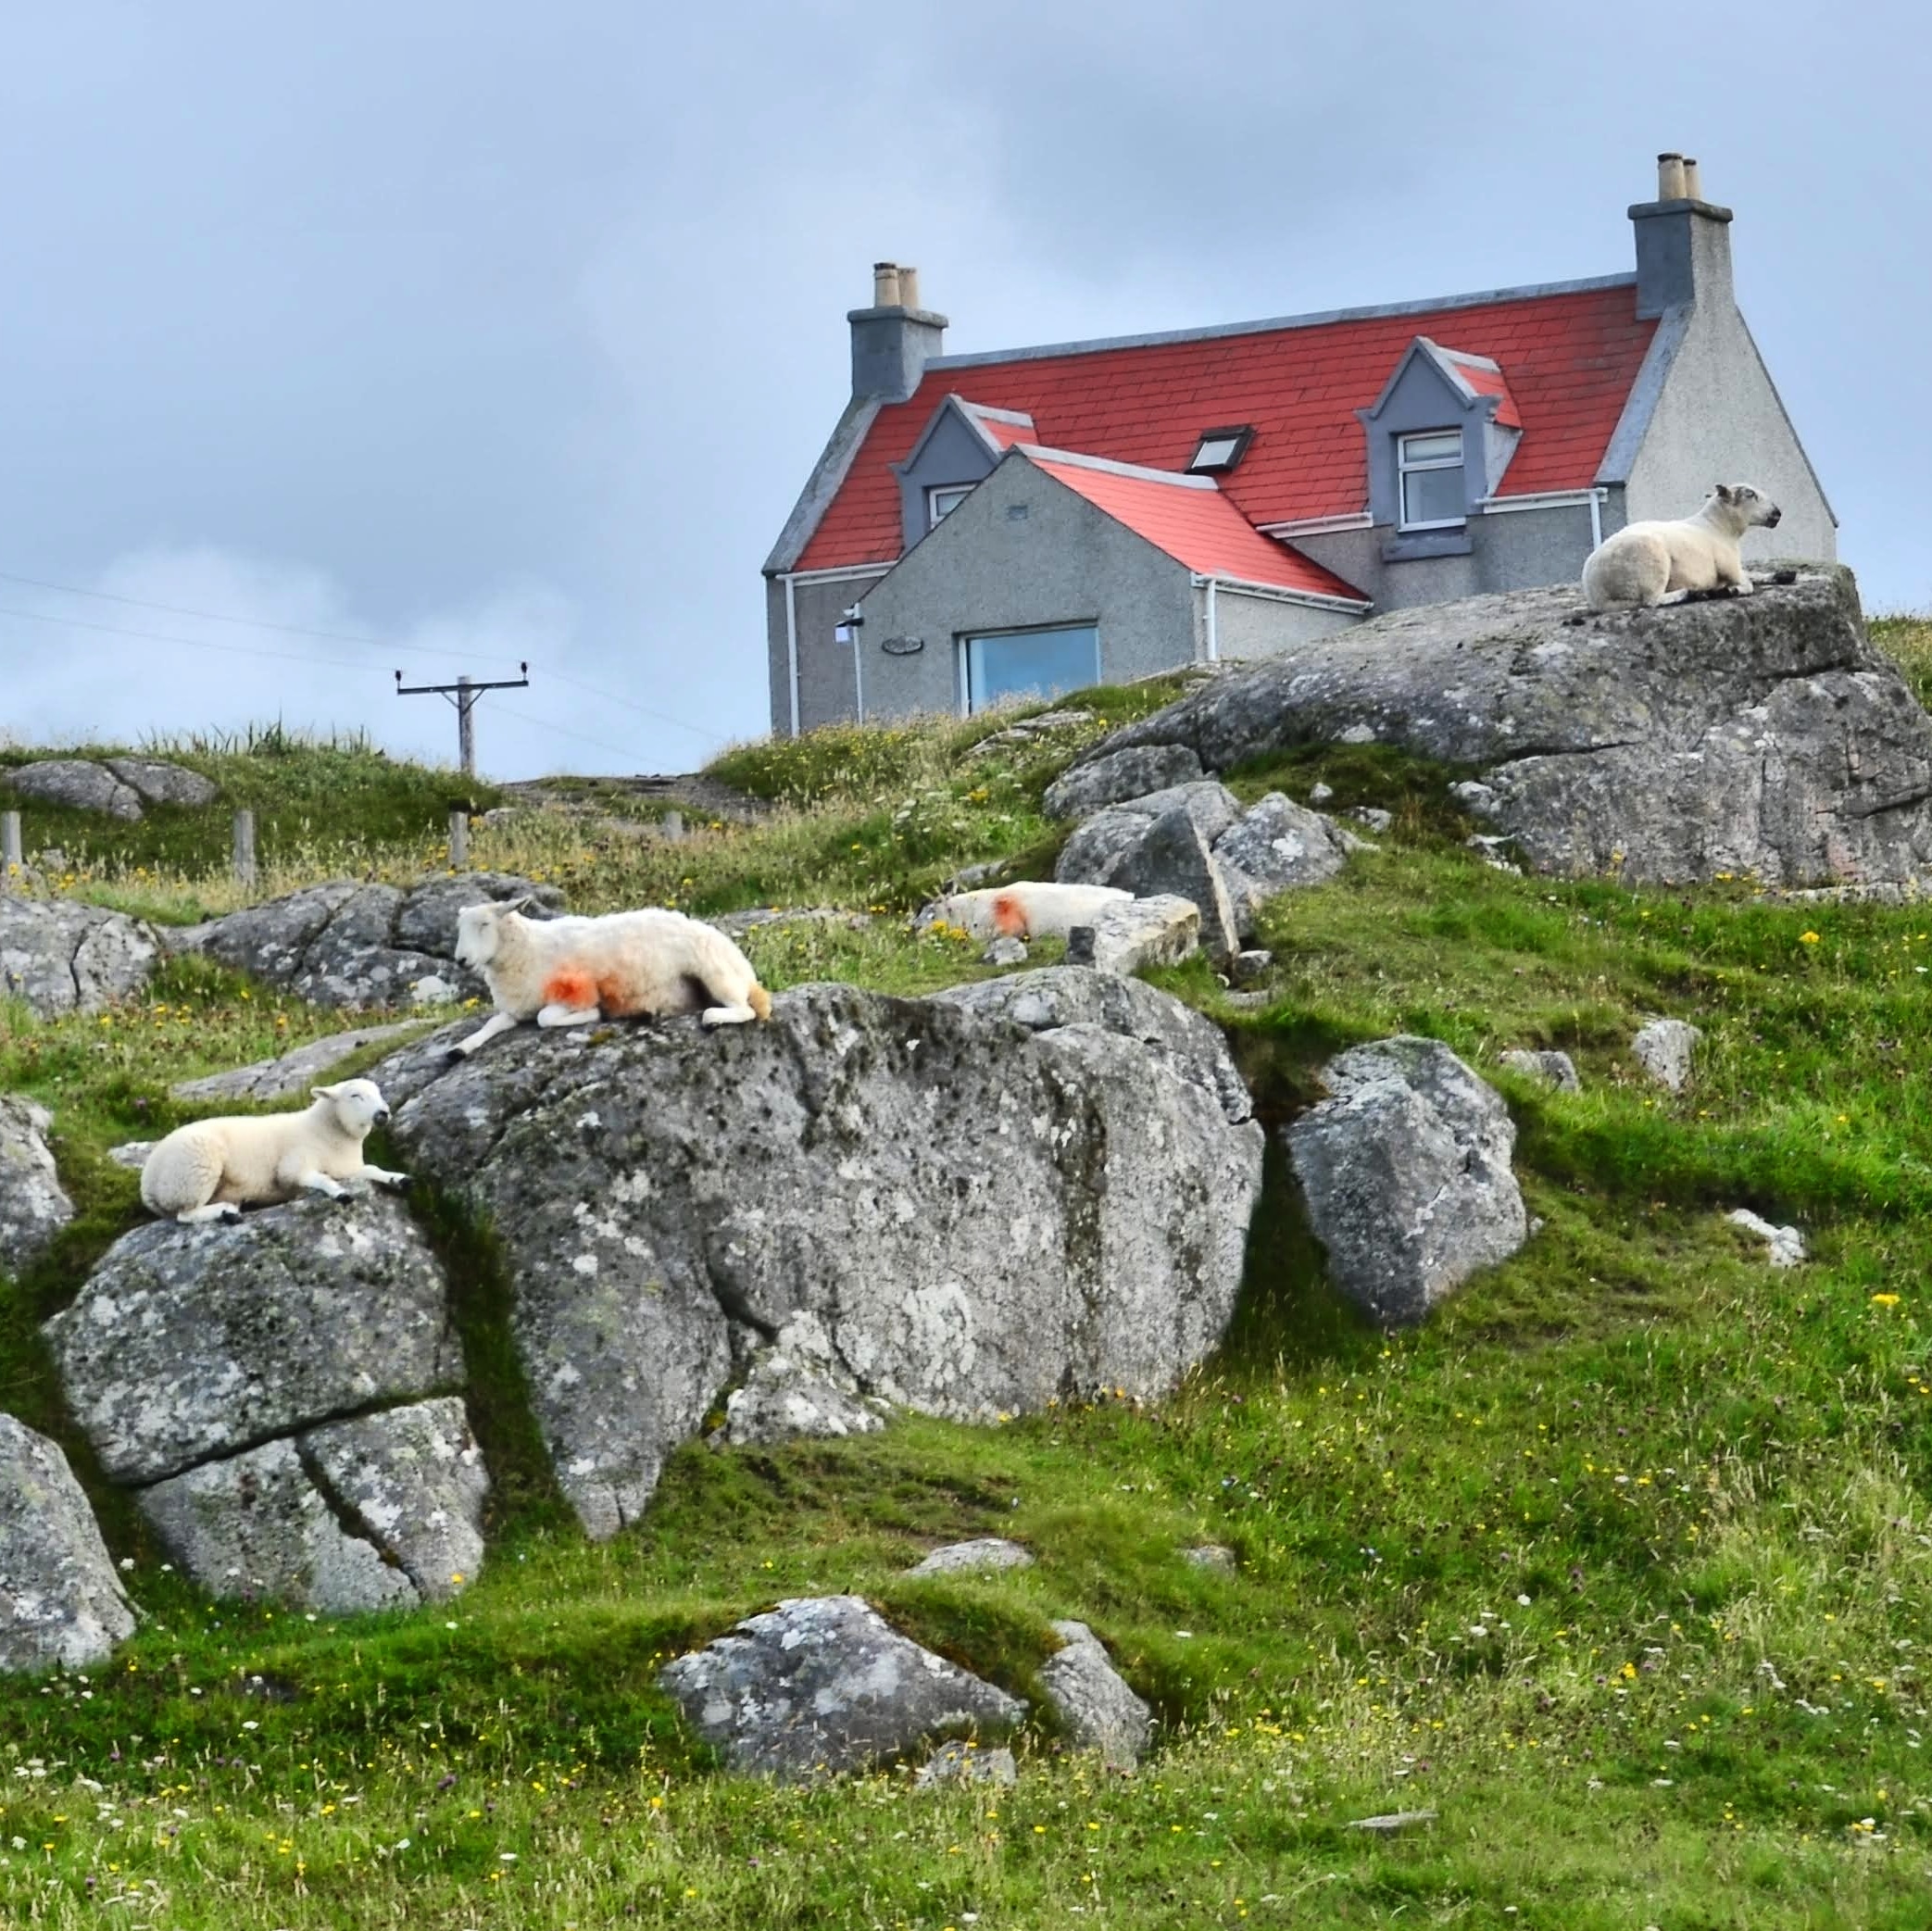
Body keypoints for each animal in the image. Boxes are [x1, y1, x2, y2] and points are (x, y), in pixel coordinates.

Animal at [141, 1081, 409, 1228]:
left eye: (379, 1092)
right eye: (355, 1095)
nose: (383, 1113)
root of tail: (147, 1183)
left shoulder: (344, 1166)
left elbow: (372, 1169)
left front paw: (398, 1178)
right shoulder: (293, 1165)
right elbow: (317, 1178)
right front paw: (339, 1192)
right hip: (192, 1173)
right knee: (184, 1215)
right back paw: (227, 1212)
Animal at [447, 899, 772, 1065]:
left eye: (485, 924)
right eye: (459, 927)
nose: (460, 960)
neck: (527, 948)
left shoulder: (572, 991)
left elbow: (545, 1017)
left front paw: (592, 1015)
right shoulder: (514, 1007)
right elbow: (492, 1024)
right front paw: (461, 1048)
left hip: (715, 973)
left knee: (746, 1010)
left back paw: (715, 1018)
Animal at [1576, 479, 1785, 606]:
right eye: (1750, 495)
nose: (1777, 513)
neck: (1719, 527)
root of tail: (1595, 591)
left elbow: (1752, 575)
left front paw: (1781, 575)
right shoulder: (1728, 565)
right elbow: (1747, 584)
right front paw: (1731, 590)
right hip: (1650, 565)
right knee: (1651, 600)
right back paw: (1690, 594)